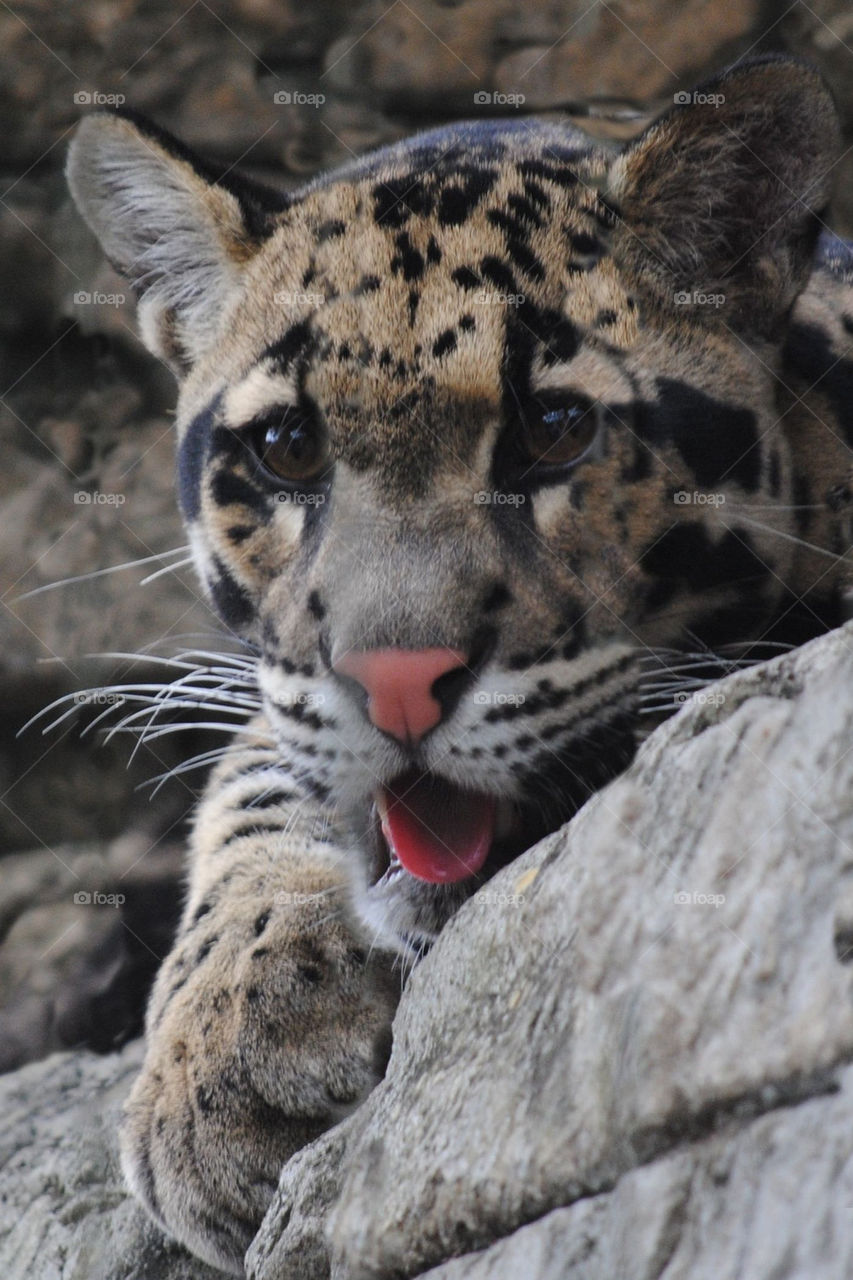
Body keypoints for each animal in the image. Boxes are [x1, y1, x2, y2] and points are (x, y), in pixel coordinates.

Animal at [66, 53, 853, 1275]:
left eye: (556, 432)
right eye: (286, 449)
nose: (397, 684)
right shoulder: (280, 690)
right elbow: (258, 774)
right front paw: (223, 1053)